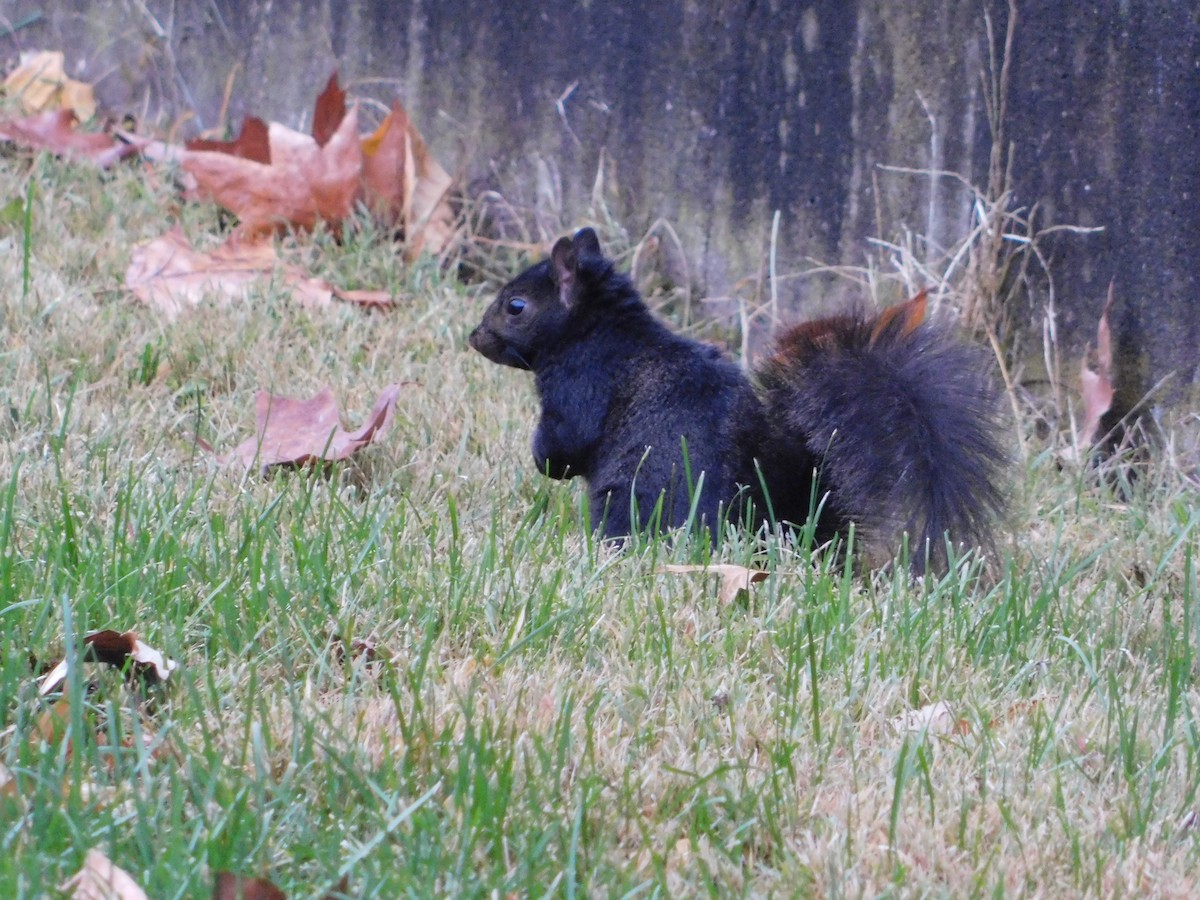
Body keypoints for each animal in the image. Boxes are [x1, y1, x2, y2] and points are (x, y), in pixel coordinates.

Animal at [469, 227, 1008, 572]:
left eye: (515, 305)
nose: (474, 338)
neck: (601, 330)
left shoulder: (579, 382)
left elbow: (567, 440)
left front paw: (542, 459)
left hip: (630, 501)